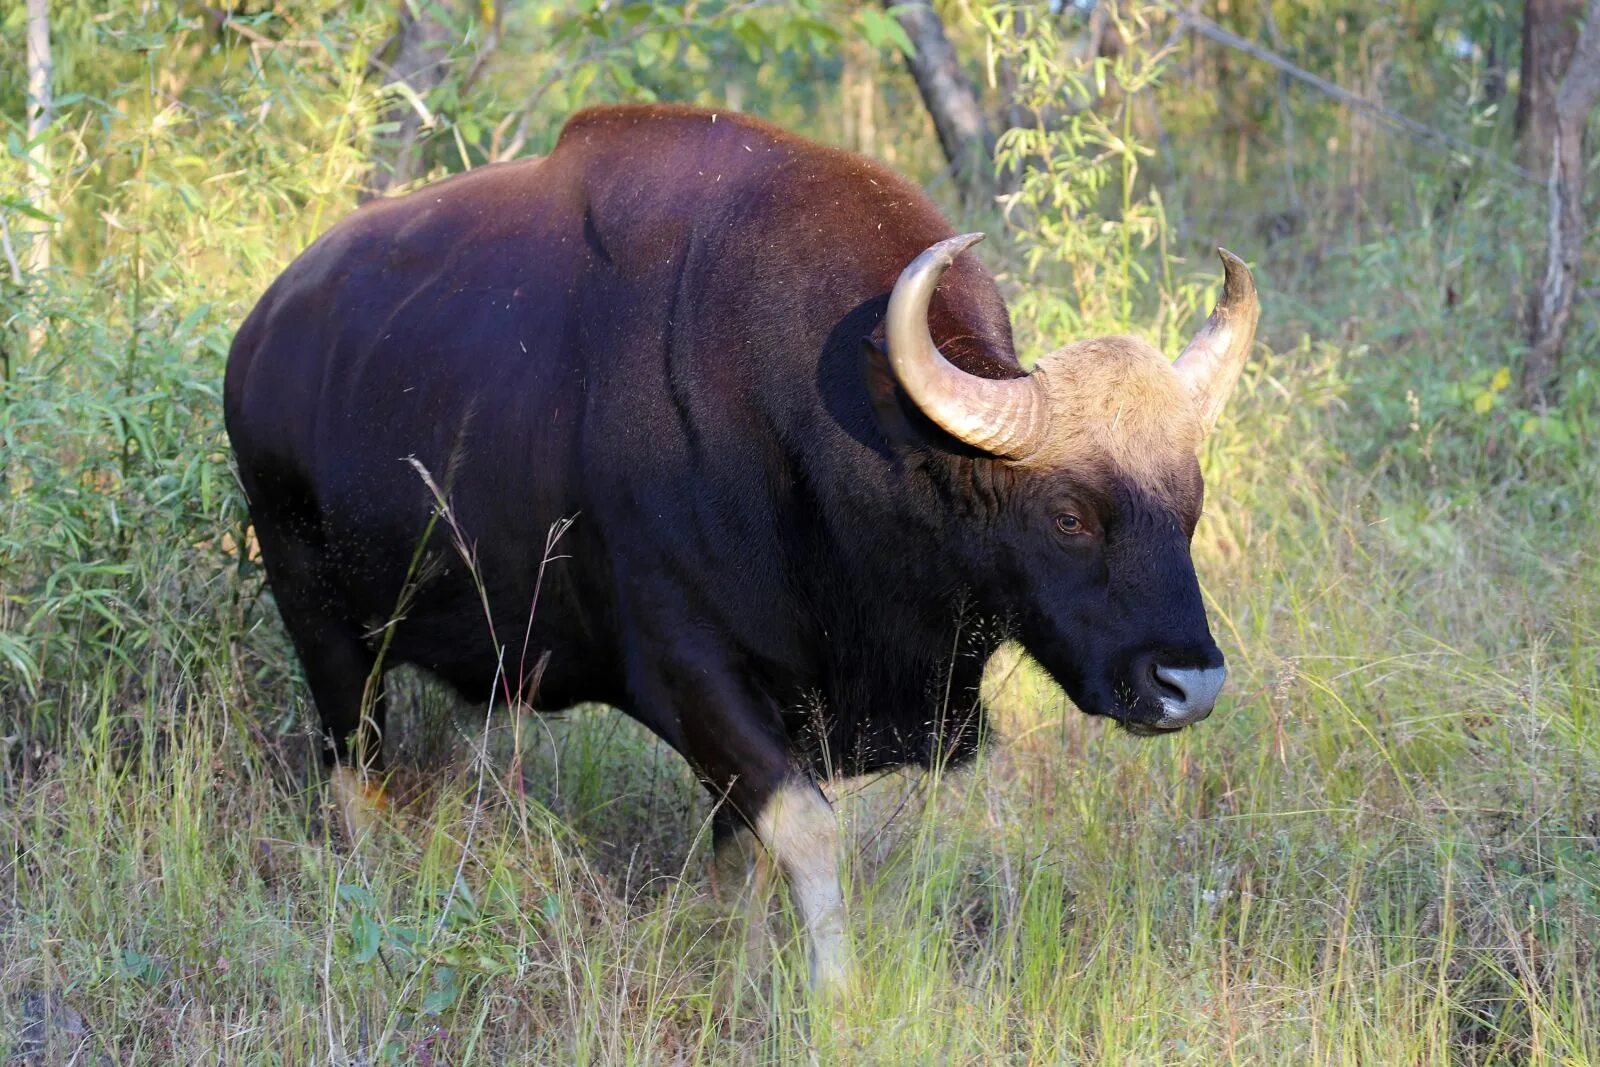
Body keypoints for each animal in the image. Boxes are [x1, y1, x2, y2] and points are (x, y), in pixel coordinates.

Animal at [225, 103, 1254, 991]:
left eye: (1190, 503)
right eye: (1070, 514)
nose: (1189, 683)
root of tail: (259, 336)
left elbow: (740, 856)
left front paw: (734, 965)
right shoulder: (688, 672)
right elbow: (804, 830)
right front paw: (836, 995)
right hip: (325, 632)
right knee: (355, 776)